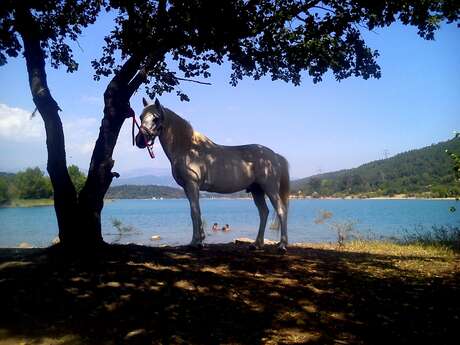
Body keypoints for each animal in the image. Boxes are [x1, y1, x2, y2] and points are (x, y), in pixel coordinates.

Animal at [135, 98, 290, 251]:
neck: (188, 149)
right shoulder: (187, 188)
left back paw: (282, 245)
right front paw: (199, 240)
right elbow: (195, 211)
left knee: (281, 210)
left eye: (155, 118)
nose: (139, 141)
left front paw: (195, 242)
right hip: (256, 190)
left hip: (270, 188)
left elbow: (194, 212)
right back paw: (257, 244)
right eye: (141, 117)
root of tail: (274, 156)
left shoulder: (192, 185)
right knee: (263, 213)